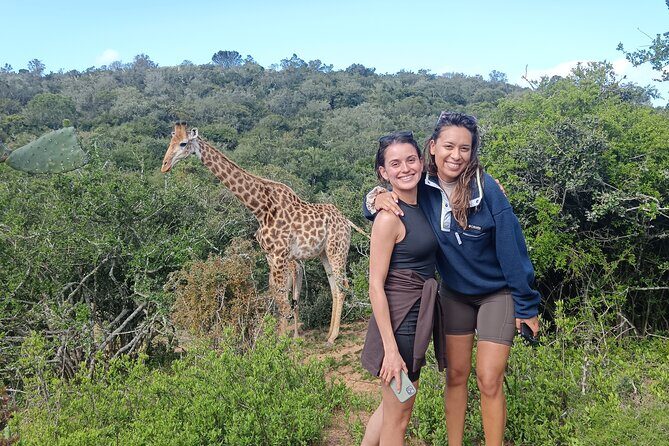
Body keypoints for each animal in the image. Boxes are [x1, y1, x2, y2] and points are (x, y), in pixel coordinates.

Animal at [161, 122, 364, 344]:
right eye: (170, 141)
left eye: (183, 143)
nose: (164, 165)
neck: (260, 208)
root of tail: (346, 221)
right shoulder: (270, 255)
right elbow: (276, 293)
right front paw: (280, 338)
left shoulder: (281, 254)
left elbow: (282, 295)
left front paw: (284, 342)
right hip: (324, 253)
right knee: (334, 286)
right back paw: (329, 334)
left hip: (338, 249)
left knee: (342, 284)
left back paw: (333, 336)